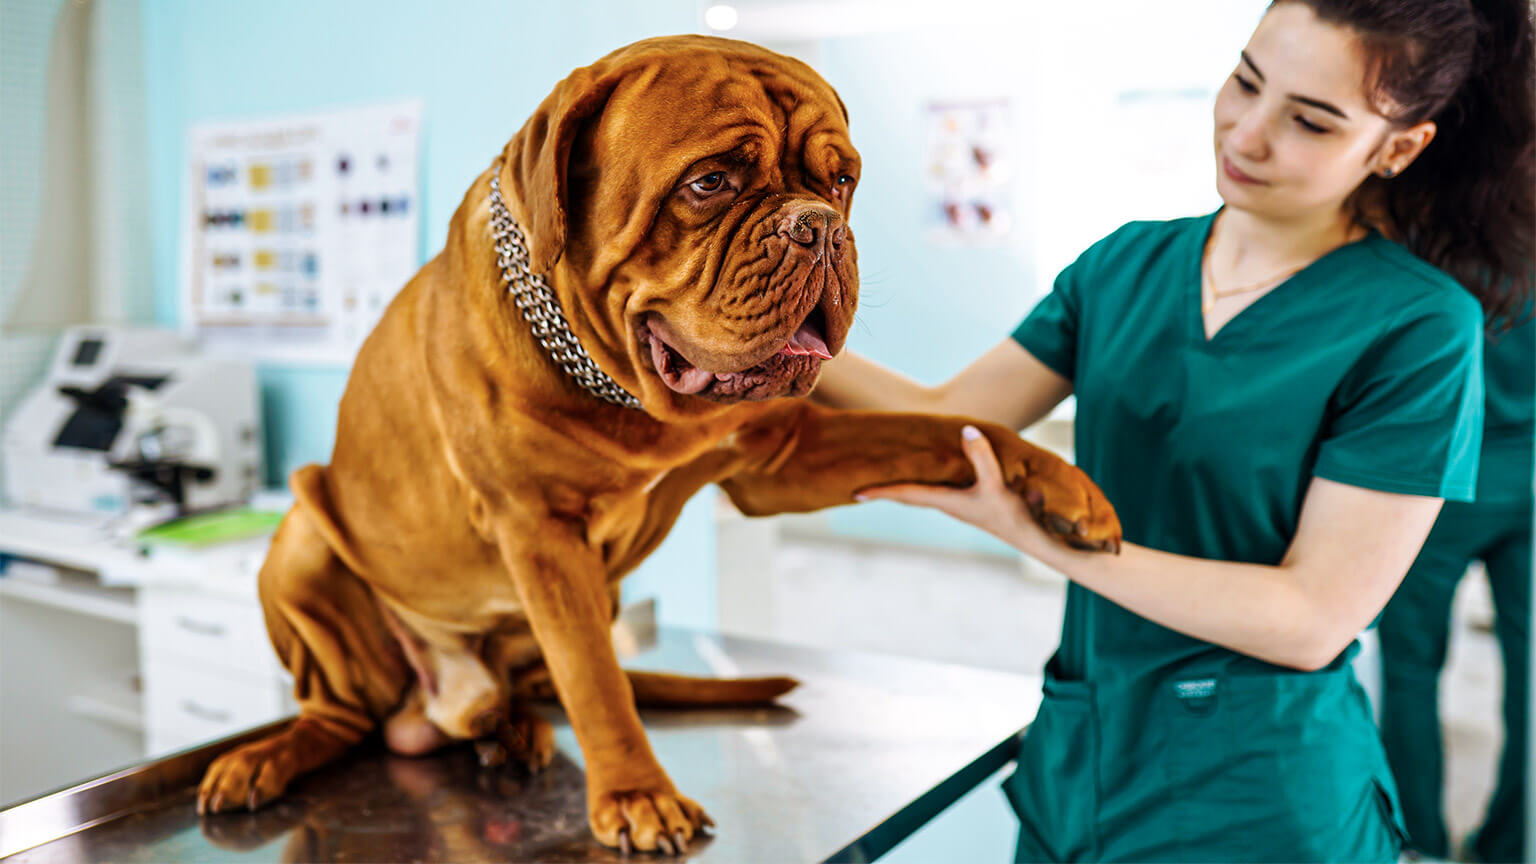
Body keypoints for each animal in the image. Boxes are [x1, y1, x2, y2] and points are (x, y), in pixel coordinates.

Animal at [198, 36, 1124, 848]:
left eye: (842, 180)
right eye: (709, 182)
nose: (821, 228)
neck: (622, 391)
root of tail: (434, 705)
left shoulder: (779, 461)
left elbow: (950, 429)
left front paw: (1060, 485)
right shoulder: (540, 532)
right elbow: (595, 678)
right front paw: (637, 795)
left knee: (510, 695)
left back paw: (510, 730)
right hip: (303, 543)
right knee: (339, 713)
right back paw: (266, 760)